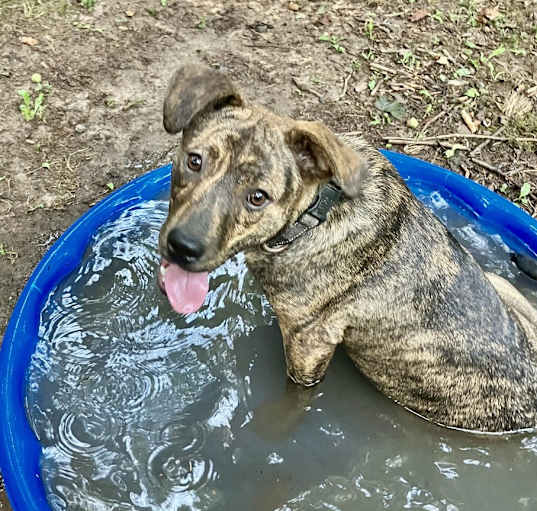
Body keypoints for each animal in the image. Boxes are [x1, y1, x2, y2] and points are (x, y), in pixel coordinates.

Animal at [157, 63, 536, 432]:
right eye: (194, 161)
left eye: (258, 197)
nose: (182, 246)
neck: (316, 212)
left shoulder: (308, 349)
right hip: (498, 281)